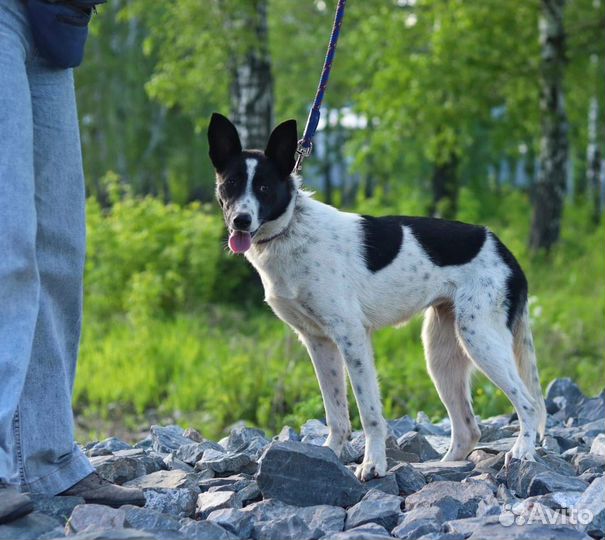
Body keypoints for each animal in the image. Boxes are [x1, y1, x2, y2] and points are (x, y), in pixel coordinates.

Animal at [208, 113, 548, 480]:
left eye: (264, 188)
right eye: (231, 184)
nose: (241, 221)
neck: (291, 230)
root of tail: (504, 250)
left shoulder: (352, 337)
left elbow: (369, 413)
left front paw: (373, 464)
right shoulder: (318, 341)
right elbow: (335, 412)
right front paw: (330, 454)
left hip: (480, 338)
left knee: (528, 404)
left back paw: (522, 452)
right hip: (441, 352)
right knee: (468, 428)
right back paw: (444, 465)